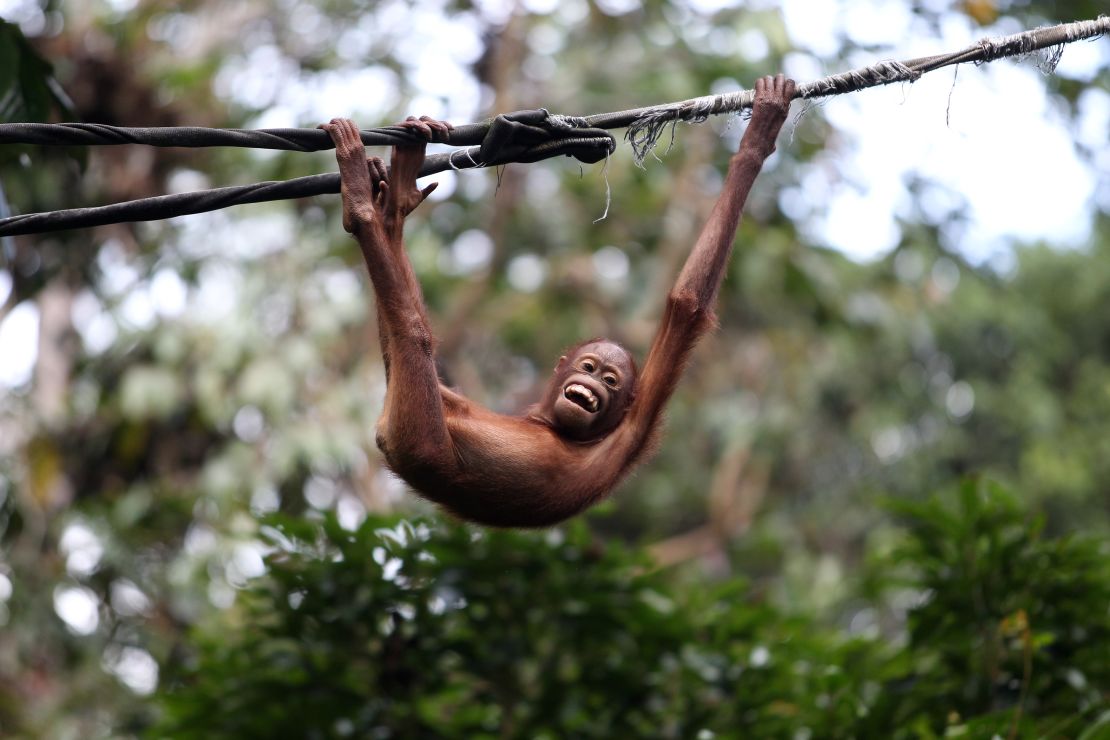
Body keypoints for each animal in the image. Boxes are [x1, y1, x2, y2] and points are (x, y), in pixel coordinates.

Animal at [319, 74, 796, 528]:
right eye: (588, 368)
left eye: (610, 381)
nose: (590, 384)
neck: (558, 426)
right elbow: (445, 392)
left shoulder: (635, 427)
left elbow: (687, 304)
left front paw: (760, 135)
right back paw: (395, 196)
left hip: (416, 436)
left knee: (413, 337)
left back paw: (362, 203)